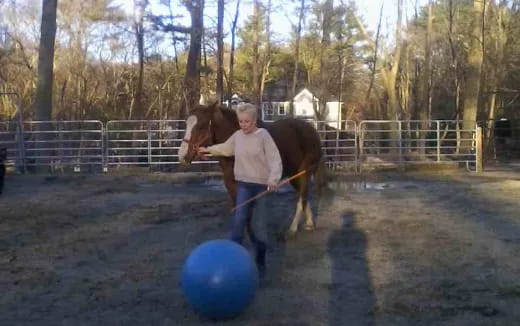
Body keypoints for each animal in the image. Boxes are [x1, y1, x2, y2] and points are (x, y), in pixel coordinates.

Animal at [181, 103, 322, 238]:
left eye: (201, 126)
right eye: (187, 124)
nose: (182, 156)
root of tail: (312, 130)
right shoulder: (231, 185)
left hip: (304, 172)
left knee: (301, 198)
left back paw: (292, 230)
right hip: (294, 175)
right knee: (304, 196)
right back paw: (309, 223)